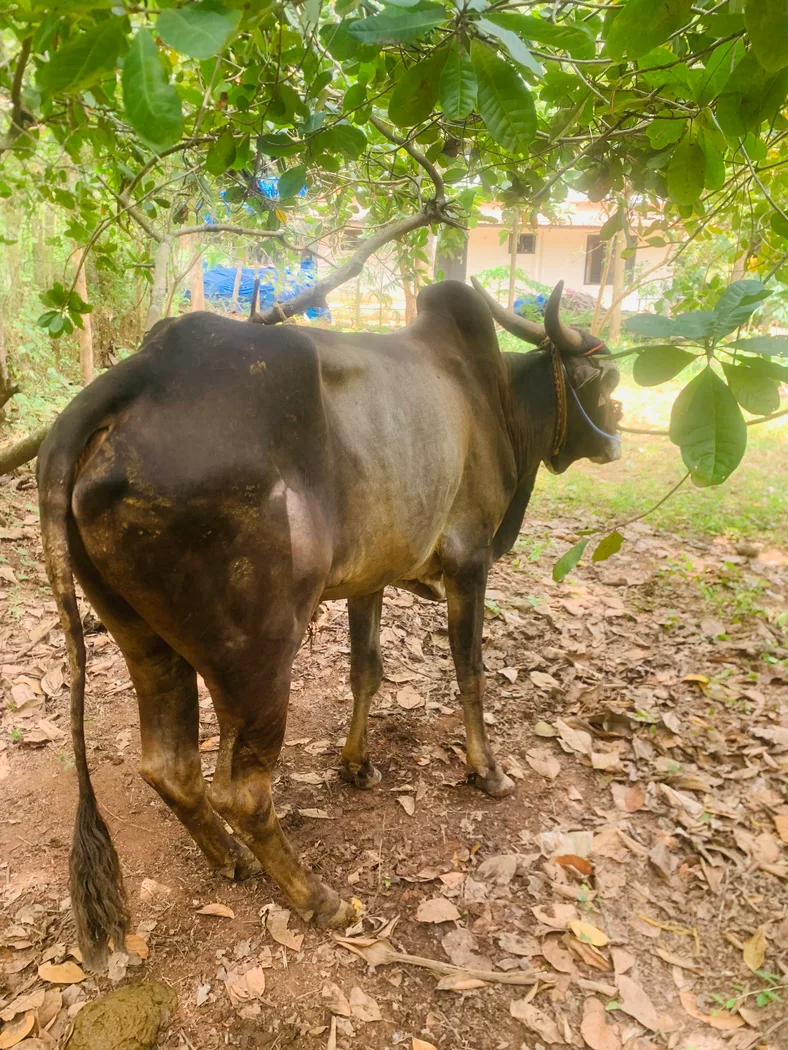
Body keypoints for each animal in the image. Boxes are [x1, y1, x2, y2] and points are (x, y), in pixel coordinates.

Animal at [37, 278, 621, 968]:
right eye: (604, 382)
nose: (615, 437)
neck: (497, 401)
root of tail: (139, 374)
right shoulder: (469, 560)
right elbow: (470, 674)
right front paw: (488, 771)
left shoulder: (369, 578)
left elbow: (366, 670)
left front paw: (357, 765)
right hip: (259, 656)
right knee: (243, 791)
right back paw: (319, 899)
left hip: (143, 639)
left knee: (169, 767)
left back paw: (231, 859)